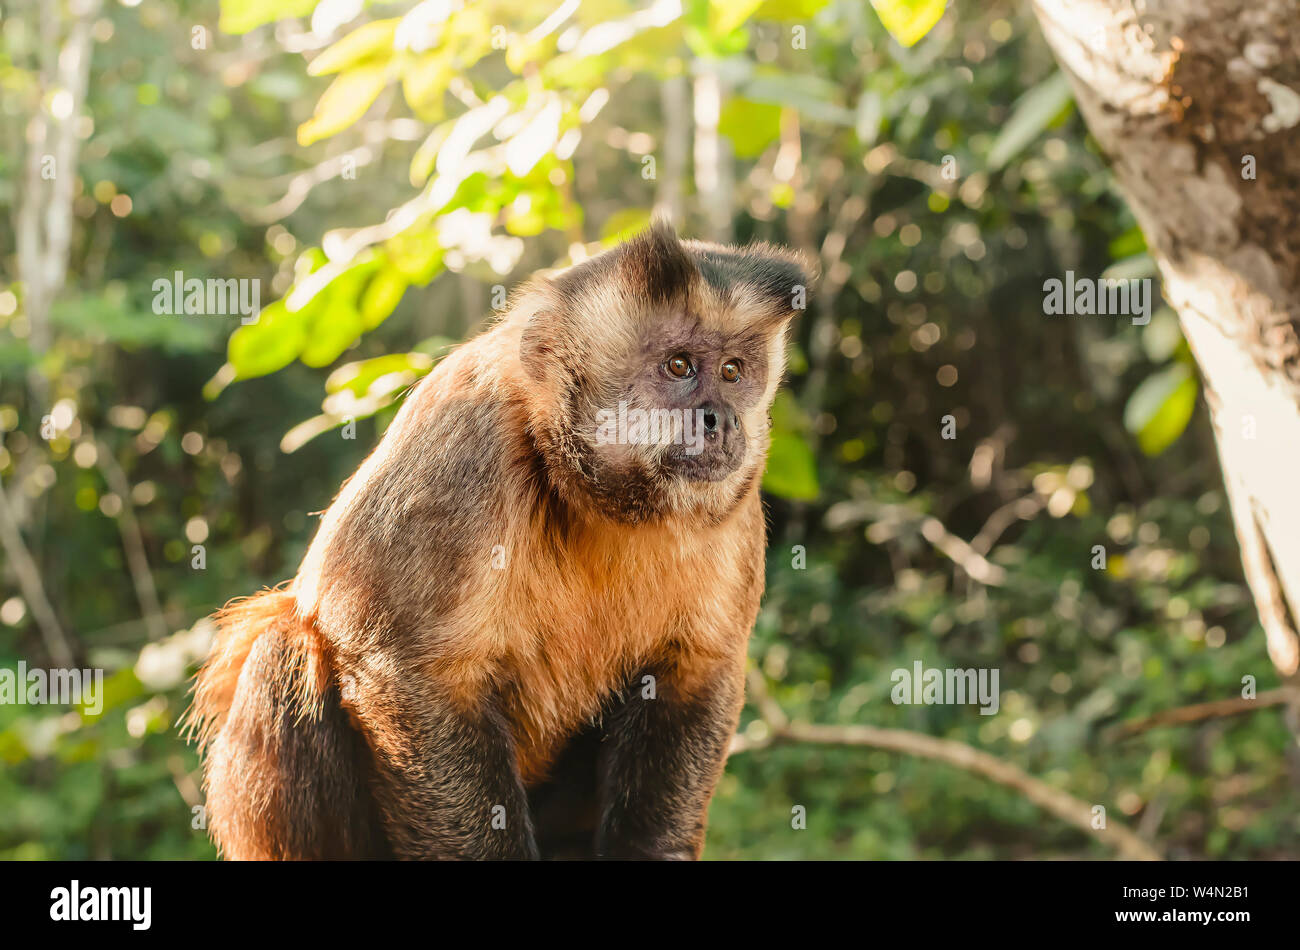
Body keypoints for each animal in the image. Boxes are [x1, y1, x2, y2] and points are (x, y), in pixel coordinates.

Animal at [185, 220, 800, 862]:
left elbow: (696, 674)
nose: (722, 420)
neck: (596, 498)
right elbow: (410, 672)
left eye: (732, 372)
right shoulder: (466, 434)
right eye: (679, 366)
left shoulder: (737, 509)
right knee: (283, 648)